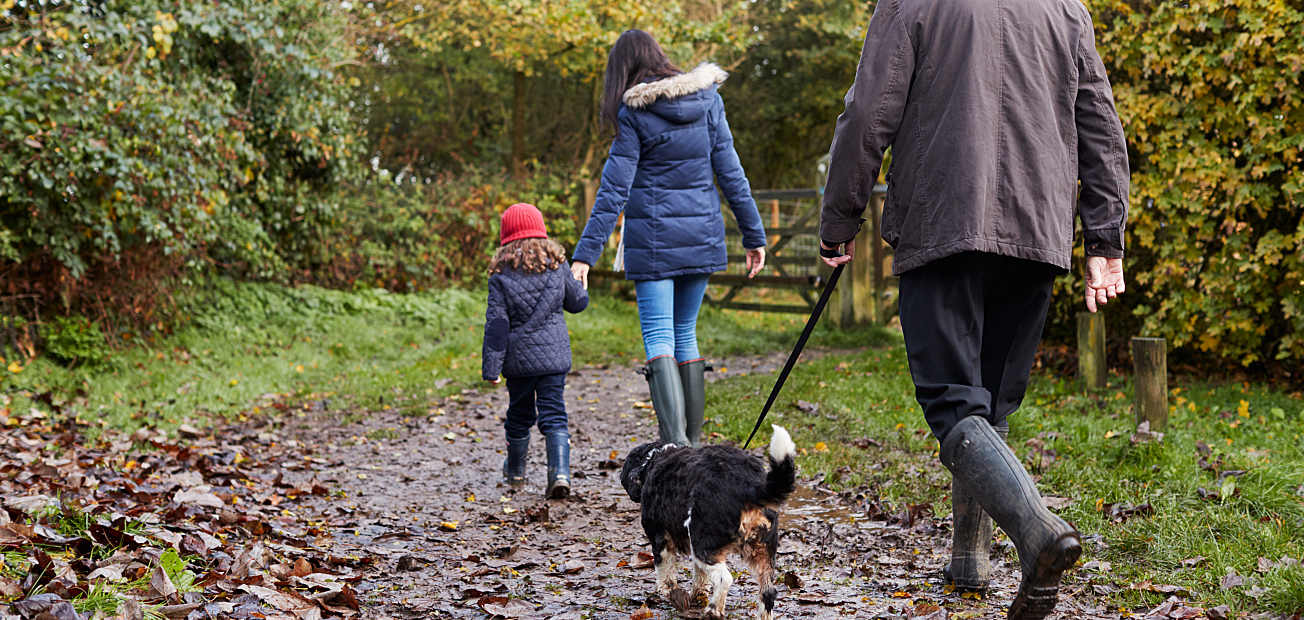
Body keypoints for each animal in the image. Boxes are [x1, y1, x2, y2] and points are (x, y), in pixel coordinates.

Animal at [618, 428, 792, 620]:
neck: (654, 458)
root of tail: (750, 486)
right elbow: (699, 576)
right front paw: (697, 595)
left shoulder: (660, 537)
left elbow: (666, 575)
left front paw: (676, 596)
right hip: (762, 550)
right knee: (768, 592)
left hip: (704, 542)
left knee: (724, 578)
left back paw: (713, 611)